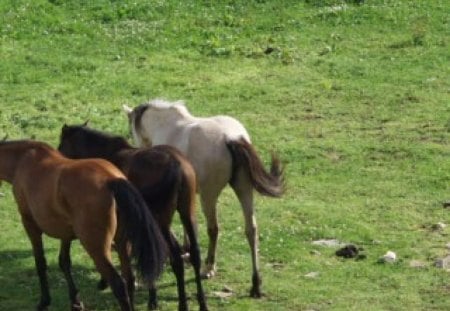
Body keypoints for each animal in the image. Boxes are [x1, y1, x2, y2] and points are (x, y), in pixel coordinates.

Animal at [0, 140, 166, 311]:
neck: (23, 160)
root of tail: (111, 179)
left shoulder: (30, 225)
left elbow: (40, 263)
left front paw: (44, 301)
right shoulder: (65, 233)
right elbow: (64, 262)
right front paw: (75, 301)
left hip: (96, 248)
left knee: (119, 285)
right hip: (122, 244)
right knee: (129, 279)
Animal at [57, 123, 208, 311]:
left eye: (61, 145)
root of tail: (176, 163)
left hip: (162, 221)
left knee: (175, 257)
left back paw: (182, 304)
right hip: (187, 213)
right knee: (194, 254)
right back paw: (202, 303)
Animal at [124, 99, 284, 298]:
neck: (169, 126)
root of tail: (232, 138)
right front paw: (186, 250)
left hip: (209, 196)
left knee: (214, 229)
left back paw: (208, 268)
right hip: (244, 189)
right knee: (251, 230)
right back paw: (255, 284)